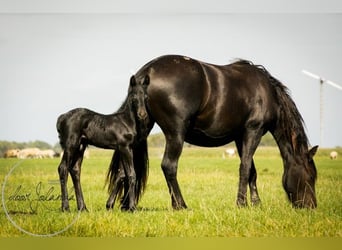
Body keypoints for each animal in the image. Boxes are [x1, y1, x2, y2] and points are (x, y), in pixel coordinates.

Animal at [56, 75, 149, 211]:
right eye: (134, 97)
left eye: (146, 97)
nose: (142, 114)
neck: (126, 121)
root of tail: (62, 117)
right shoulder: (124, 147)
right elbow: (131, 174)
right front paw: (132, 207)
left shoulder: (126, 148)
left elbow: (122, 174)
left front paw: (110, 205)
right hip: (70, 145)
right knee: (63, 168)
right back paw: (65, 207)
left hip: (81, 146)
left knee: (75, 170)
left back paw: (82, 207)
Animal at [109, 54, 318, 209]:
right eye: (311, 176)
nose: (311, 207)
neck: (267, 92)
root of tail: (146, 72)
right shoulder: (253, 131)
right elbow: (245, 168)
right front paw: (242, 204)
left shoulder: (240, 136)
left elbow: (252, 170)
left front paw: (256, 203)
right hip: (176, 133)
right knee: (169, 166)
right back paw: (180, 205)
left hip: (142, 130)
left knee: (124, 171)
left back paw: (121, 206)